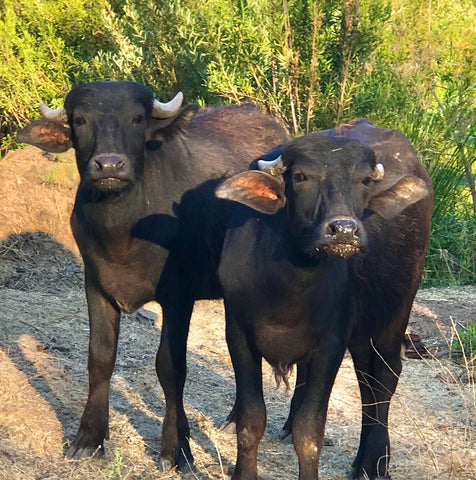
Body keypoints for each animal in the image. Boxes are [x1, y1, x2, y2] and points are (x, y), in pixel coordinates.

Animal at [16, 80, 288, 470]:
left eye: (136, 118)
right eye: (80, 119)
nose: (109, 165)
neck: (123, 231)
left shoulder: (178, 297)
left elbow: (170, 367)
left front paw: (176, 447)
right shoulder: (96, 285)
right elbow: (100, 357)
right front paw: (89, 437)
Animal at [218, 117, 434, 480]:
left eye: (364, 180)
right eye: (300, 176)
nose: (344, 230)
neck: (288, 289)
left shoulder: (331, 344)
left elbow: (309, 432)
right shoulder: (238, 333)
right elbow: (250, 420)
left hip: (396, 312)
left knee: (384, 378)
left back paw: (376, 462)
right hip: (361, 332)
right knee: (365, 379)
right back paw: (359, 459)